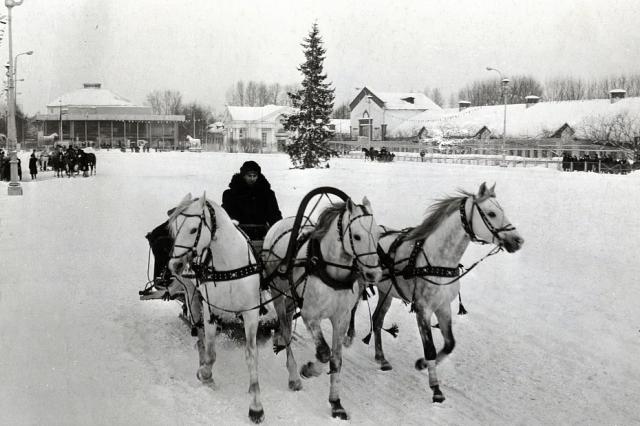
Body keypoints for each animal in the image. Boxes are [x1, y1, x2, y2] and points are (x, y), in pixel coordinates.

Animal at [169, 192, 266, 422]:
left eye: (193, 229)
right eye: (175, 228)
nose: (174, 265)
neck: (229, 265)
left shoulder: (251, 313)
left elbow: (251, 355)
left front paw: (256, 405)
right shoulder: (210, 311)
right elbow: (211, 352)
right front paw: (205, 374)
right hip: (192, 296)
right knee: (199, 335)